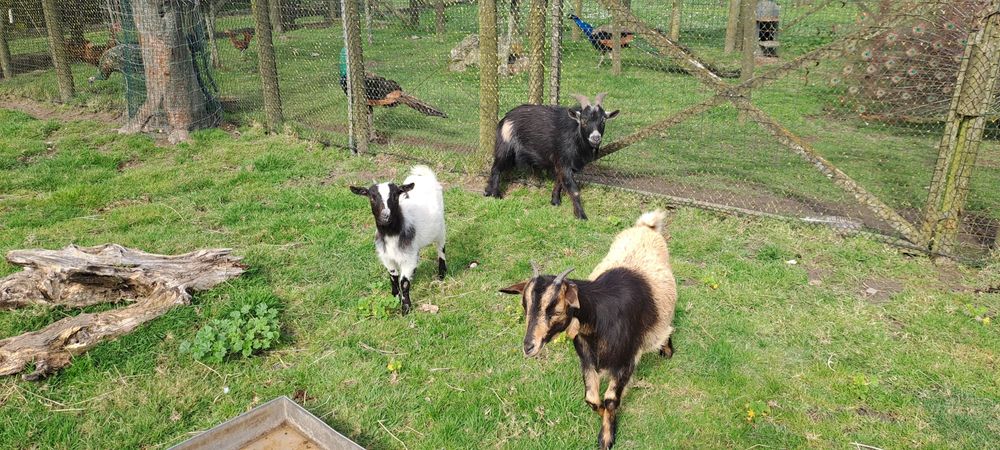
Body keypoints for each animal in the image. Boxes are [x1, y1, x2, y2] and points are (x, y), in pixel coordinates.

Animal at [351, 165, 446, 315]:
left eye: (395, 196)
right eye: (371, 197)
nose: (386, 216)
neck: (391, 234)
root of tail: (423, 174)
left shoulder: (408, 257)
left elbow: (404, 282)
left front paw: (406, 308)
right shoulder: (387, 257)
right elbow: (393, 278)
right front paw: (395, 298)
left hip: (440, 228)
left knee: (441, 248)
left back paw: (442, 274)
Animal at [484, 93, 619, 220]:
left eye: (603, 121)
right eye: (584, 121)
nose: (595, 138)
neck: (575, 135)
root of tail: (505, 118)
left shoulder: (562, 163)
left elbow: (559, 181)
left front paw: (555, 201)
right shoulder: (564, 161)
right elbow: (574, 190)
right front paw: (581, 216)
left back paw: (488, 191)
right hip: (505, 146)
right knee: (496, 168)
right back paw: (495, 194)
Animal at [500, 210, 676, 449]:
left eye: (556, 310)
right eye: (525, 306)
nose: (529, 347)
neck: (598, 322)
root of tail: (645, 227)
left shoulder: (627, 360)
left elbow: (611, 399)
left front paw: (606, 438)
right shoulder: (587, 359)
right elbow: (592, 399)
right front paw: (601, 415)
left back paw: (666, 349)